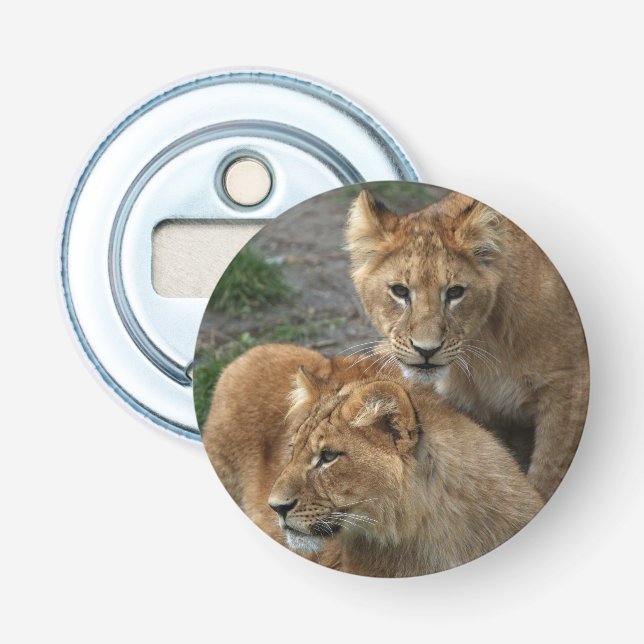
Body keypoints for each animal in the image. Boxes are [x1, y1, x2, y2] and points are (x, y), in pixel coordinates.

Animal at [345, 189, 590, 500]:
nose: (426, 350)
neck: (485, 347)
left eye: (455, 292)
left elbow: (548, 474)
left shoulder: (567, 389)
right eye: (400, 291)